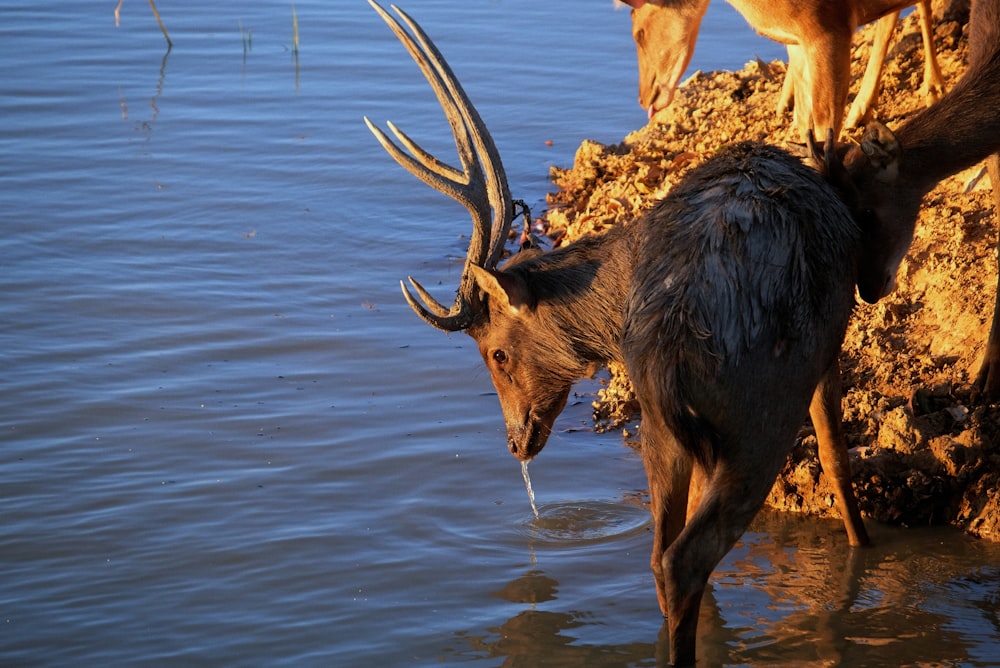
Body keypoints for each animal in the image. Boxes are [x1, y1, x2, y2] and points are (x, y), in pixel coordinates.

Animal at [368, 2, 876, 664]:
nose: (515, 443)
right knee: (686, 557)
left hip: (662, 424)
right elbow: (839, 462)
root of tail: (670, 352)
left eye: (497, 353)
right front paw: (865, 548)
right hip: (761, 409)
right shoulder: (827, 343)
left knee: (661, 556)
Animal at [624, 0, 944, 141]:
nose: (643, 97)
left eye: (638, 33)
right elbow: (804, 120)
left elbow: (825, 122)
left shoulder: (829, 27)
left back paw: (933, 87)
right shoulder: (799, 40)